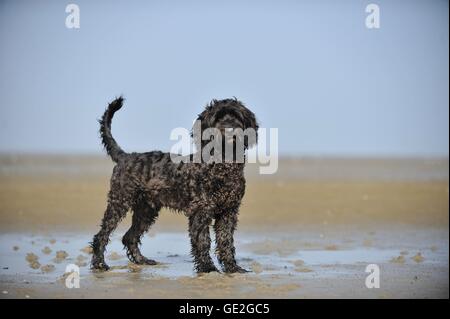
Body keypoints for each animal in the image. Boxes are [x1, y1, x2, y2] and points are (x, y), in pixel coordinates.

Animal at [91, 96, 258, 274]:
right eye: (218, 117)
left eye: (236, 116)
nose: (230, 129)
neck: (222, 166)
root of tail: (125, 156)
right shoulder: (200, 211)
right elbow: (203, 241)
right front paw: (208, 268)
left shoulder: (228, 212)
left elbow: (226, 241)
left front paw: (232, 267)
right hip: (119, 202)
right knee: (102, 234)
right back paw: (99, 264)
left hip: (146, 210)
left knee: (129, 237)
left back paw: (141, 260)